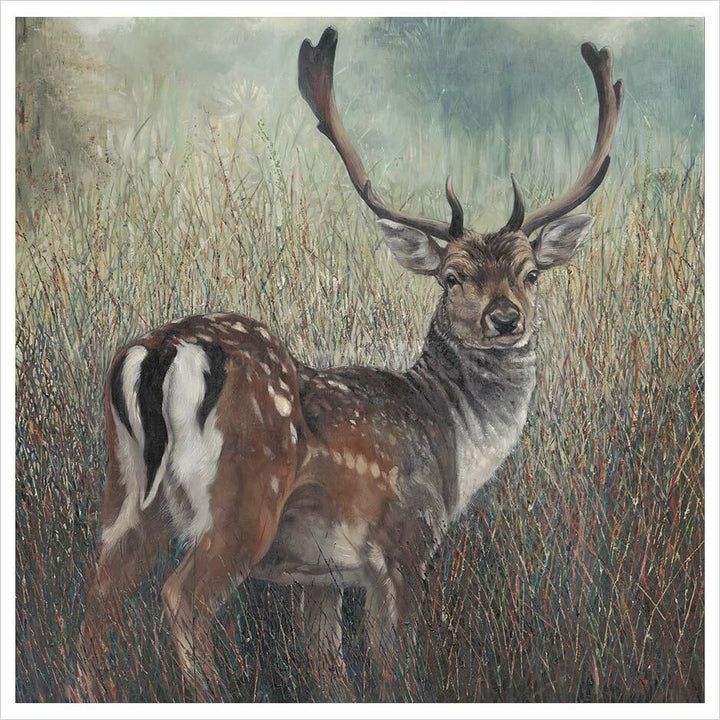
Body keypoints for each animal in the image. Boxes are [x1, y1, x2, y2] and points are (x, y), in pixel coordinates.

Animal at [75, 26, 622, 702]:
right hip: (242, 499)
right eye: (452, 277)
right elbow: (393, 670)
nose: (505, 319)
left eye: (531, 273)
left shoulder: (322, 577)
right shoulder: (401, 543)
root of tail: (165, 349)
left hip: (126, 494)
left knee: (98, 596)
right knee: (183, 598)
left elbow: (329, 671)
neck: (454, 442)